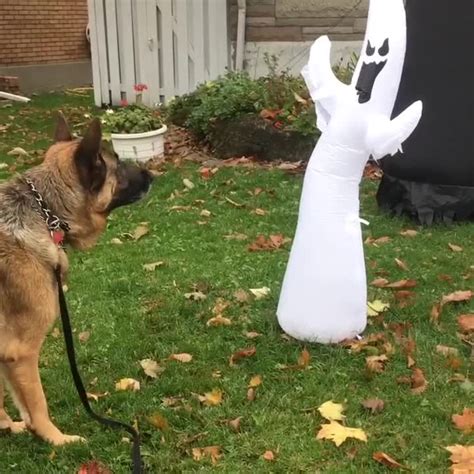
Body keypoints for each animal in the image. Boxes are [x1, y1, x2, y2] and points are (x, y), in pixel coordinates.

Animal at [0, 114, 153, 444]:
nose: (152, 174)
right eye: (117, 163)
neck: (44, 212)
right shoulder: (22, 352)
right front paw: (56, 440)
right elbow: (37, 404)